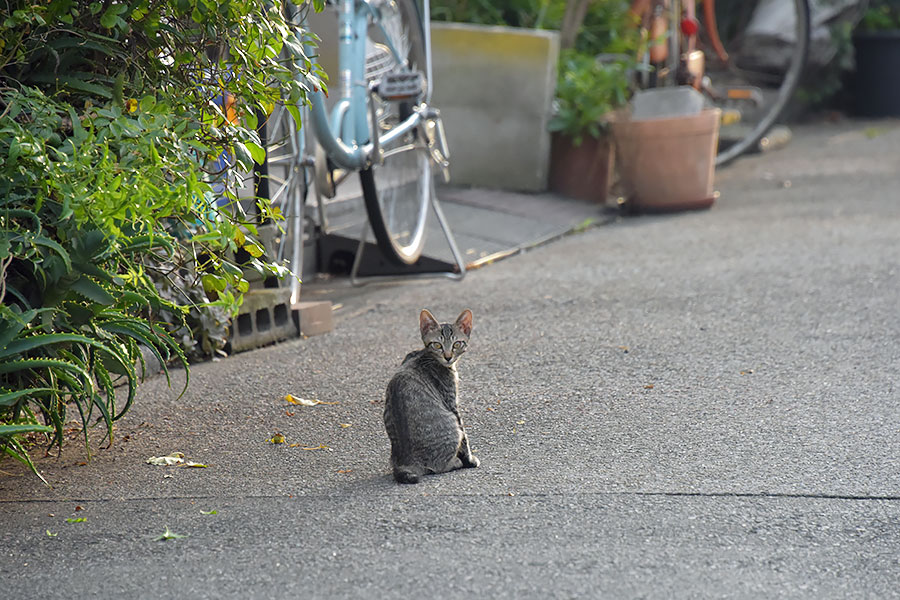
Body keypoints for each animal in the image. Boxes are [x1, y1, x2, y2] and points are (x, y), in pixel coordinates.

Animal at [380, 310, 478, 482]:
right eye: (437, 345)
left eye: (457, 344)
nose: (448, 356)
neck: (425, 354)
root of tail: (408, 463)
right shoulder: (451, 403)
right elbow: (465, 436)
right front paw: (470, 460)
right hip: (451, 425)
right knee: (438, 467)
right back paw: (456, 462)